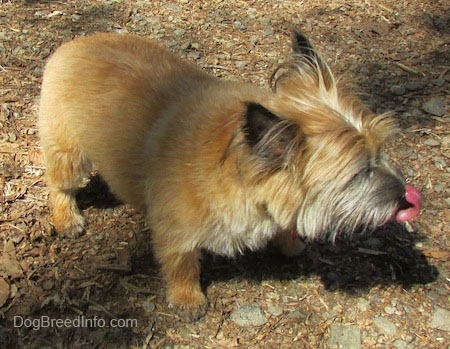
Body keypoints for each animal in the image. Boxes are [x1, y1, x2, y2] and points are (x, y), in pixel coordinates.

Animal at [38, 31, 422, 320]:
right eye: (359, 172)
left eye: (381, 153)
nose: (406, 198)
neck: (238, 164)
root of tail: (75, 43)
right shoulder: (175, 232)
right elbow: (182, 264)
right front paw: (188, 298)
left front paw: (289, 242)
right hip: (69, 157)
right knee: (58, 187)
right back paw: (67, 218)